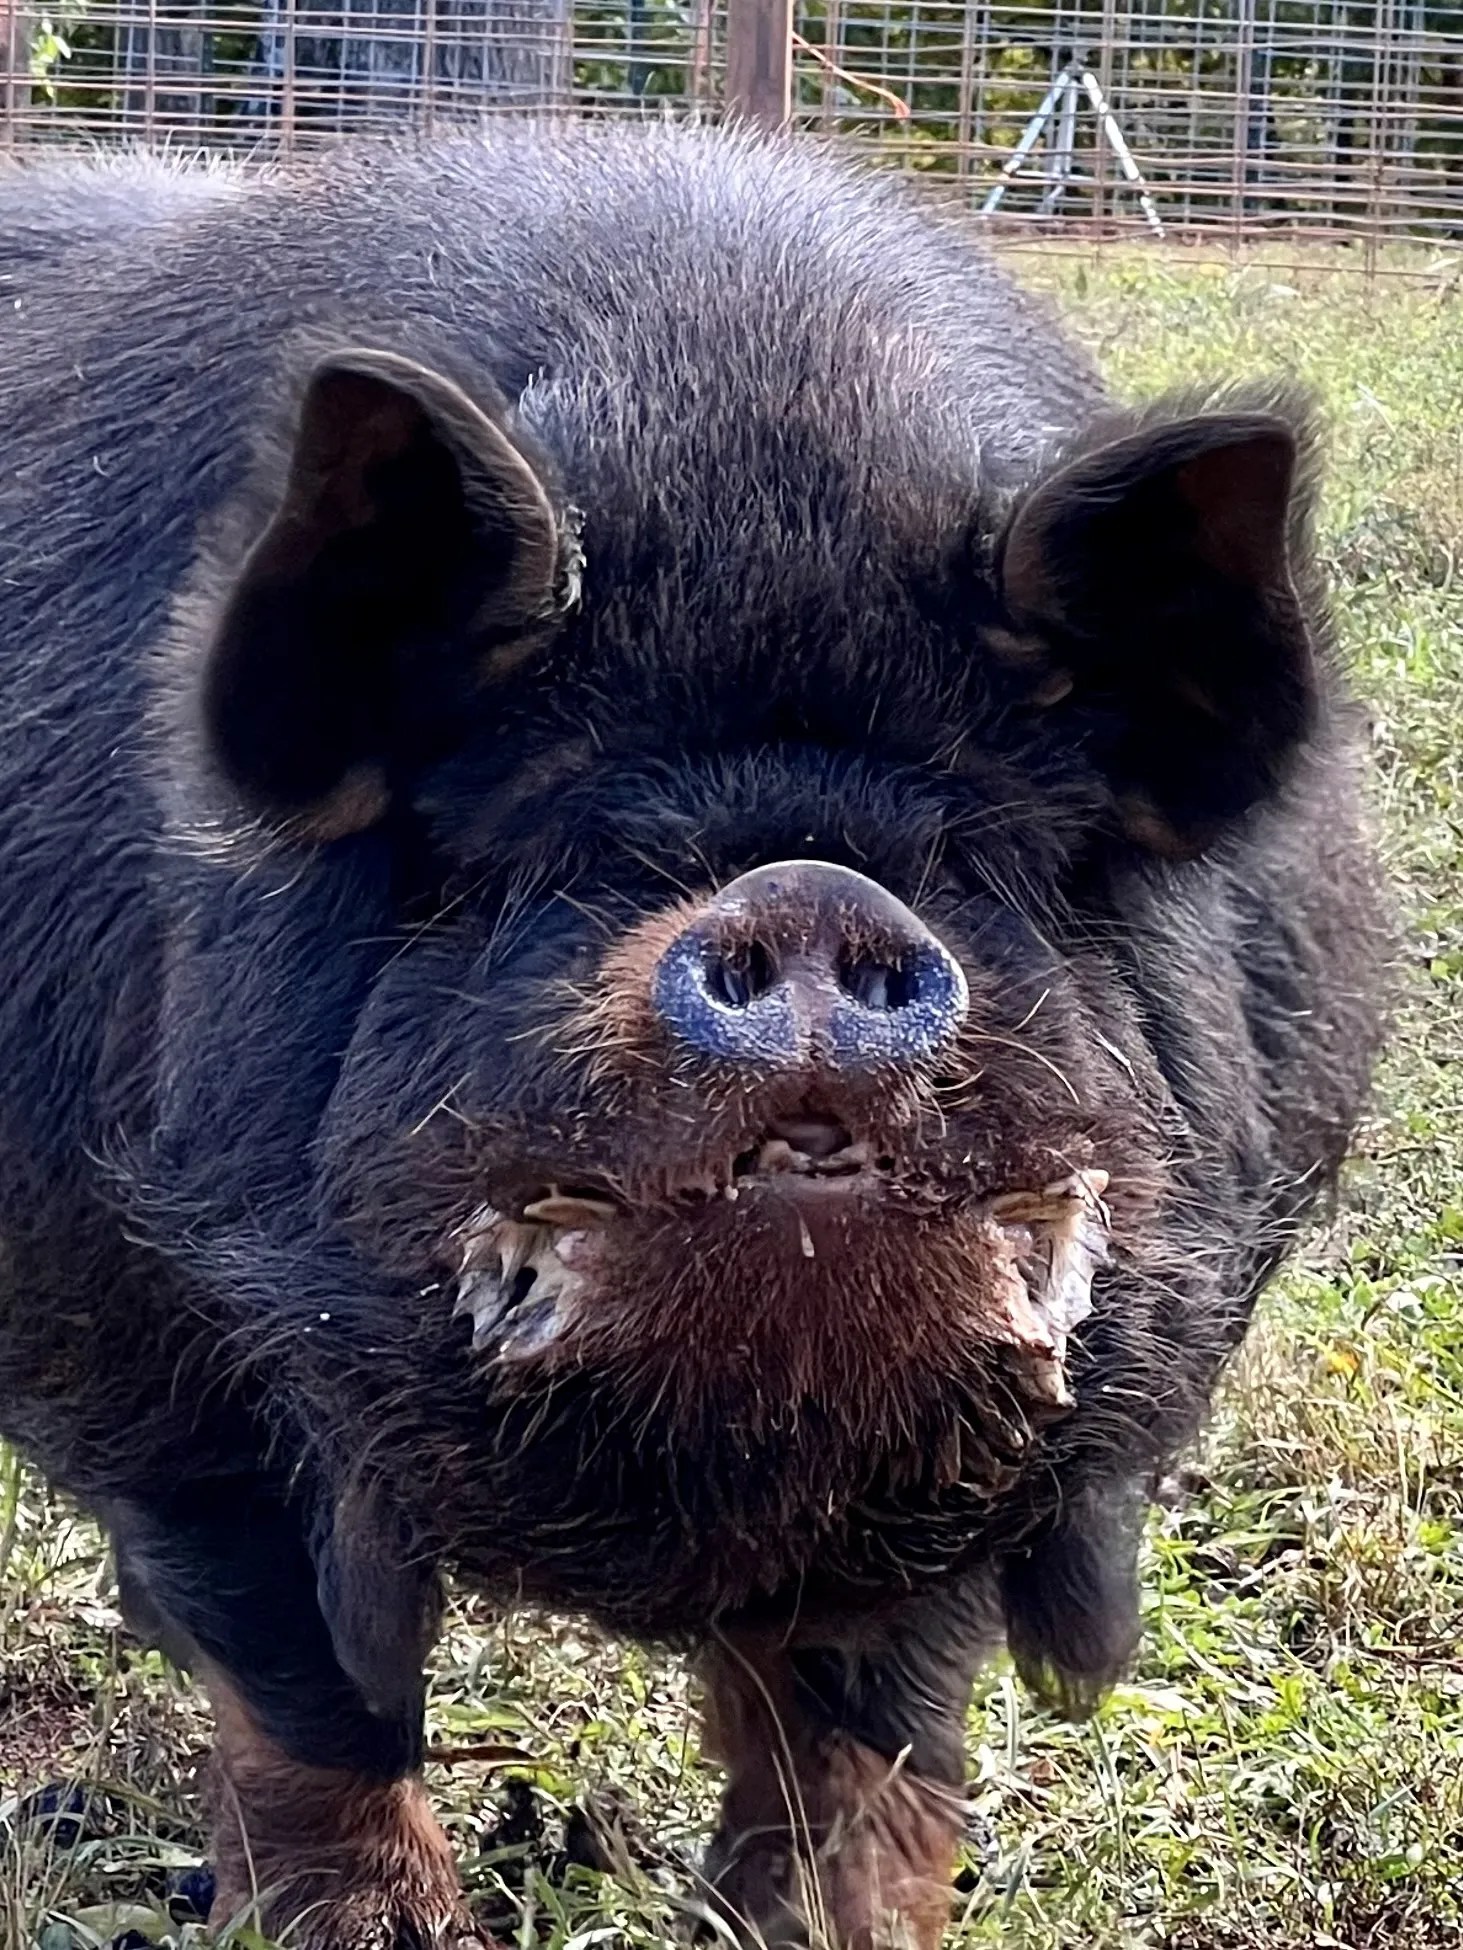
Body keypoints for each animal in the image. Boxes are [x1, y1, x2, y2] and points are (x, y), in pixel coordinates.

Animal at [0, 124, 1387, 1949]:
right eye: (562, 852)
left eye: (978, 857)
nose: (805, 891)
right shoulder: (126, 1327)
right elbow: (301, 1681)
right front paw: (376, 1925)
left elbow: (866, 1727)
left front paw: (827, 1924)